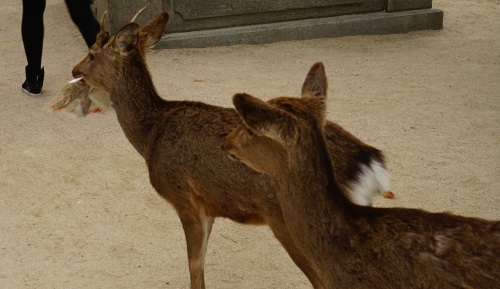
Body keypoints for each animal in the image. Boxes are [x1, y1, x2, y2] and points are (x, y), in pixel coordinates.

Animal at [72, 7, 394, 288]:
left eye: (91, 54)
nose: (74, 68)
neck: (150, 135)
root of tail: (367, 161)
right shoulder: (210, 204)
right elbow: (201, 261)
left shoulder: (185, 198)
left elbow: (194, 265)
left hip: (298, 226)